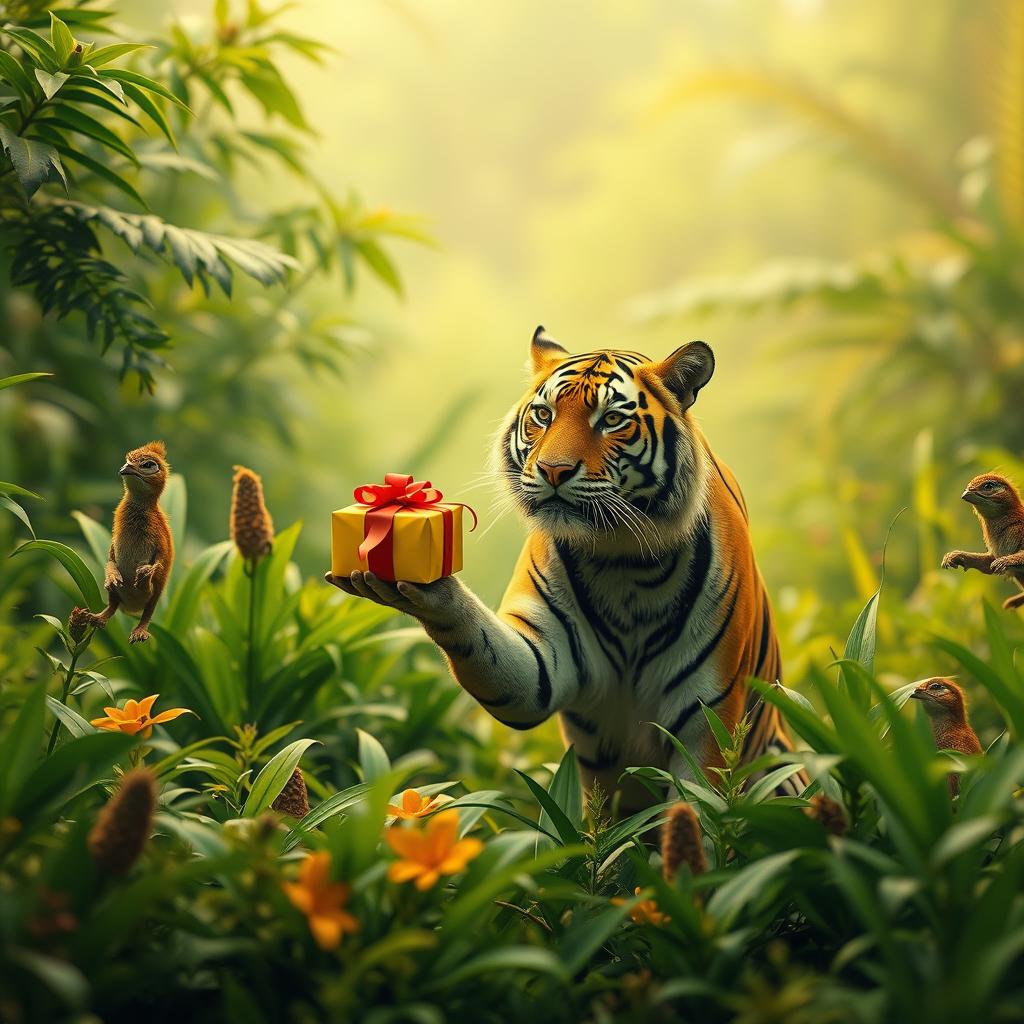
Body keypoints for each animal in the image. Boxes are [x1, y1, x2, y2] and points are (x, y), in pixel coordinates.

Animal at [326, 326, 800, 810]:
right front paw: (433, 592)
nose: (553, 470)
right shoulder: (541, 665)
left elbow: (696, 811)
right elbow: (481, 642)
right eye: (543, 414)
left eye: (611, 420)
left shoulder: (707, 717)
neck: (624, 559)